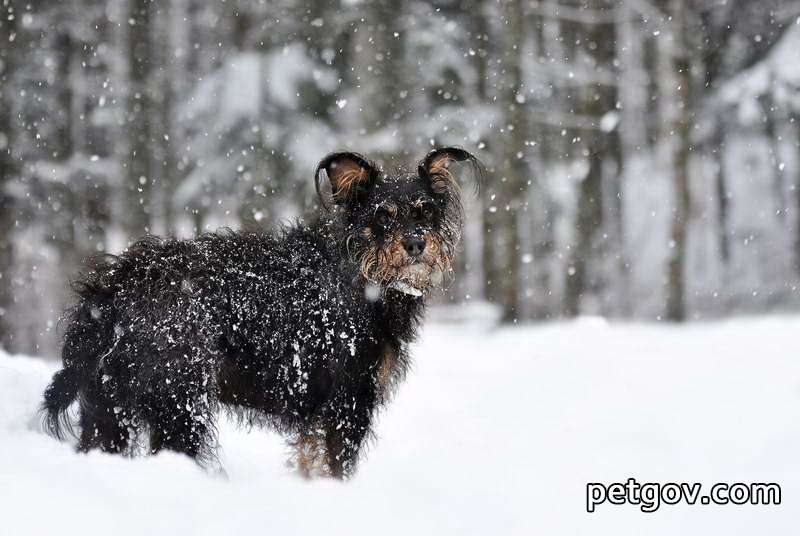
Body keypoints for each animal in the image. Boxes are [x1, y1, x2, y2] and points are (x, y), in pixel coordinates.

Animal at [40, 147, 482, 478]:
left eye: (425, 211)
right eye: (382, 215)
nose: (415, 244)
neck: (361, 274)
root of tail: (115, 284)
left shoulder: (319, 414)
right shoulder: (348, 402)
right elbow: (337, 468)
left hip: (108, 408)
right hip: (178, 402)